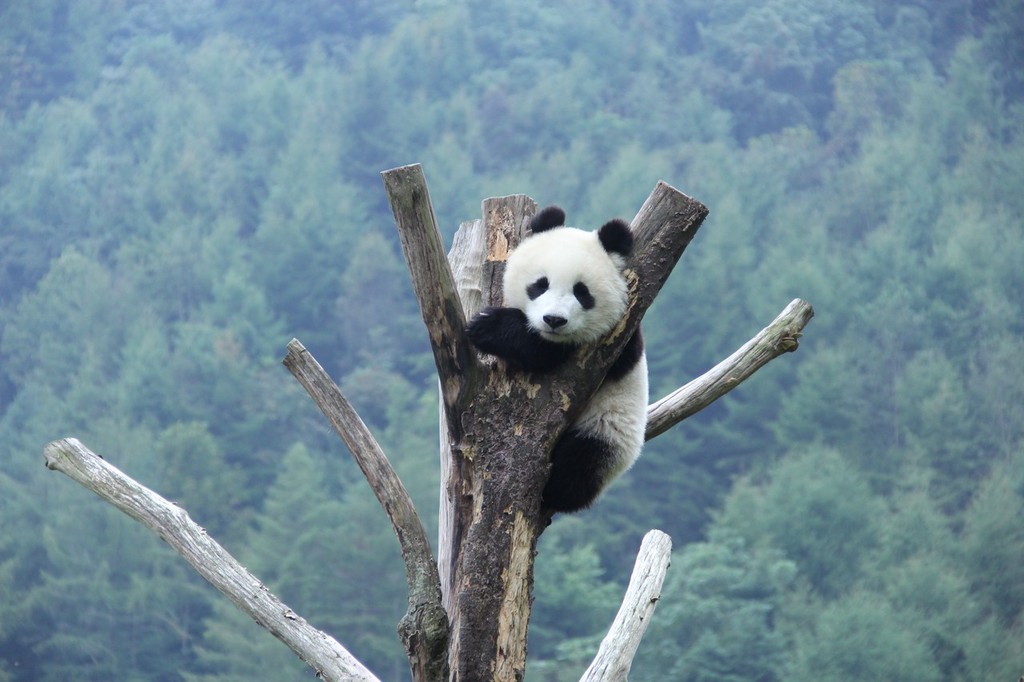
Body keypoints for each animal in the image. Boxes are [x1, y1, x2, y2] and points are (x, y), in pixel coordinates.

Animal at [466, 204, 647, 512]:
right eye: (540, 285)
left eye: (582, 292)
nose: (553, 320)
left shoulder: (619, 340)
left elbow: (545, 352)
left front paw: (488, 326)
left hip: (609, 431)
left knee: (582, 463)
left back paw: (555, 491)